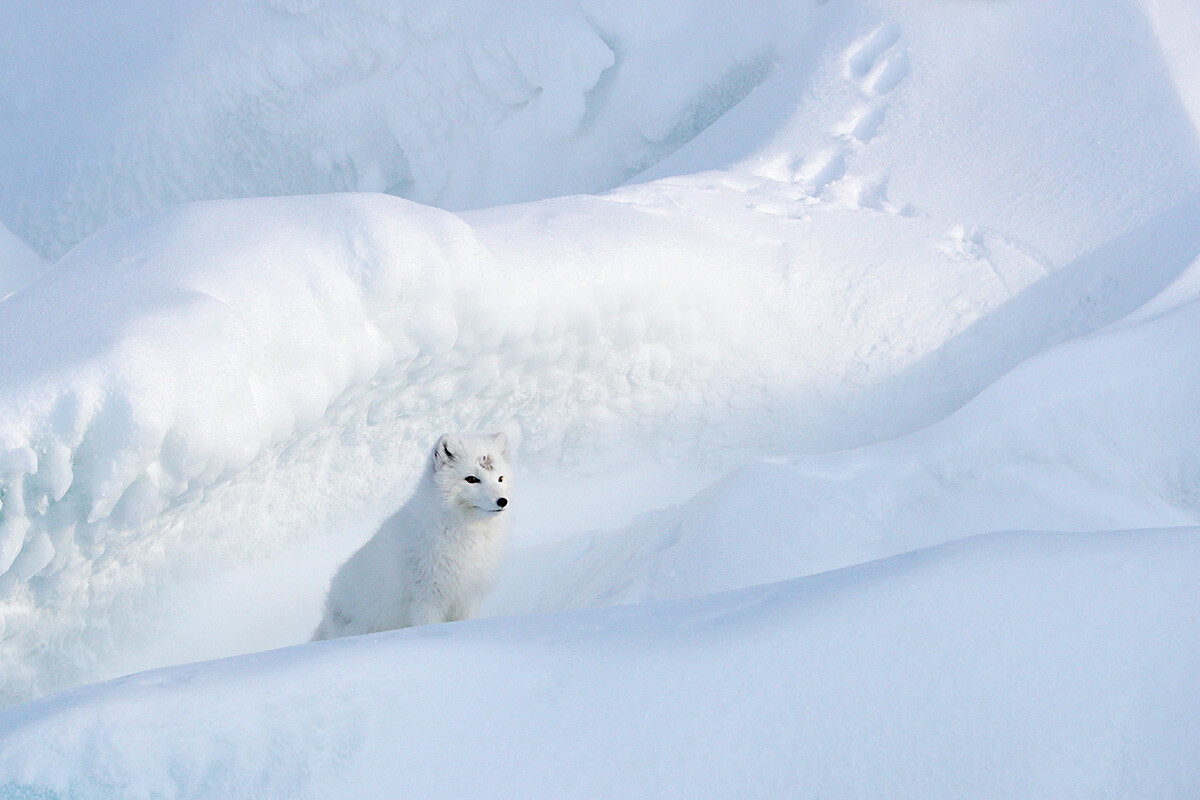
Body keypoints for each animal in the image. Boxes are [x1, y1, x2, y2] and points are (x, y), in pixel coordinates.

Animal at [312, 434, 513, 642]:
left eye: (500, 478)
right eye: (472, 479)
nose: (502, 501)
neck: (468, 535)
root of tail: (327, 617)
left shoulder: (468, 598)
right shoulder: (427, 600)